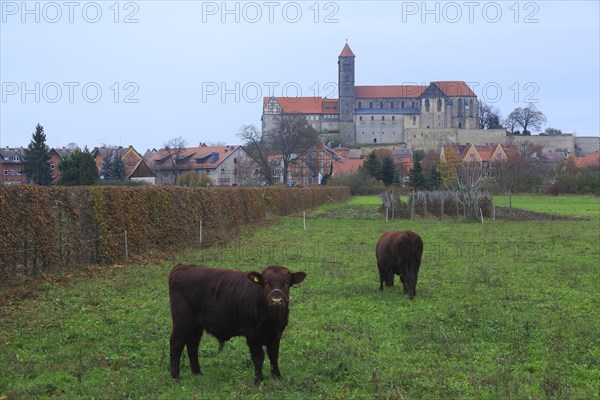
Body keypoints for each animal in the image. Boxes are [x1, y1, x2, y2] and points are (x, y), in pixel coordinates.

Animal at [170, 264, 308, 382]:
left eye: (286, 283)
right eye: (265, 283)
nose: (276, 300)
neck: (271, 320)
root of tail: (181, 267)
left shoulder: (277, 333)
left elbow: (274, 355)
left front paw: (277, 376)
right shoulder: (252, 332)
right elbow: (258, 357)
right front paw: (259, 380)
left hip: (195, 325)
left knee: (192, 344)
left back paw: (197, 372)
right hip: (182, 322)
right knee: (176, 344)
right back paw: (175, 377)